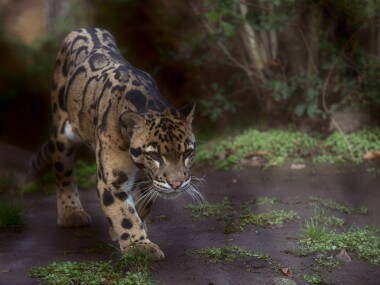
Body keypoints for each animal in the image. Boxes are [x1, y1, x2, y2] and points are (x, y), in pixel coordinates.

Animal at [30, 28, 203, 260]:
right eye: (154, 155)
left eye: (187, 153)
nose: (177, 184)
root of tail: (84, 28)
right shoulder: (112, 180)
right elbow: (125, 215)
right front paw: (139, 246)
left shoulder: (148, 182)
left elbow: (141, 207)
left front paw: (131, 232)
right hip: (60, 133)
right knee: (64, 174)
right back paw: (71, 213)